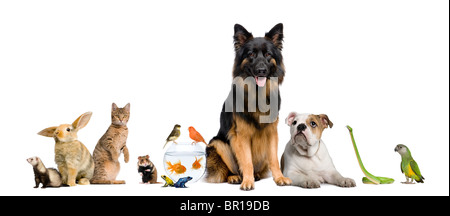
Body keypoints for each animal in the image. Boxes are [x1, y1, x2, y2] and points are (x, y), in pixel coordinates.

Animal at [207, 22, 292, 190]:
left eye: (268, 55)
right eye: (251, 54)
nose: (261, 71)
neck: (257, 94)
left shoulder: (272, 132)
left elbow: (274, 159)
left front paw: (279, 178)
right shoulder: (241, 135)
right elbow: (246, 161)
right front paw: (247, 181)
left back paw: (257, 175)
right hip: (218, 143)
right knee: (229, 169)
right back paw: (235, 177)